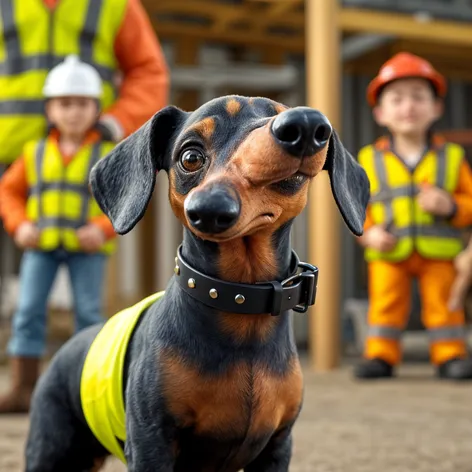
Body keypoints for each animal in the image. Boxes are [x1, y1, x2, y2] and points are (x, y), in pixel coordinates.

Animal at [25, 97, 370, 472]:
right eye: (190, 156)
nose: (306, 123)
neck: (240, 303)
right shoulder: (151, 442)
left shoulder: (277, 445)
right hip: (52, 451)